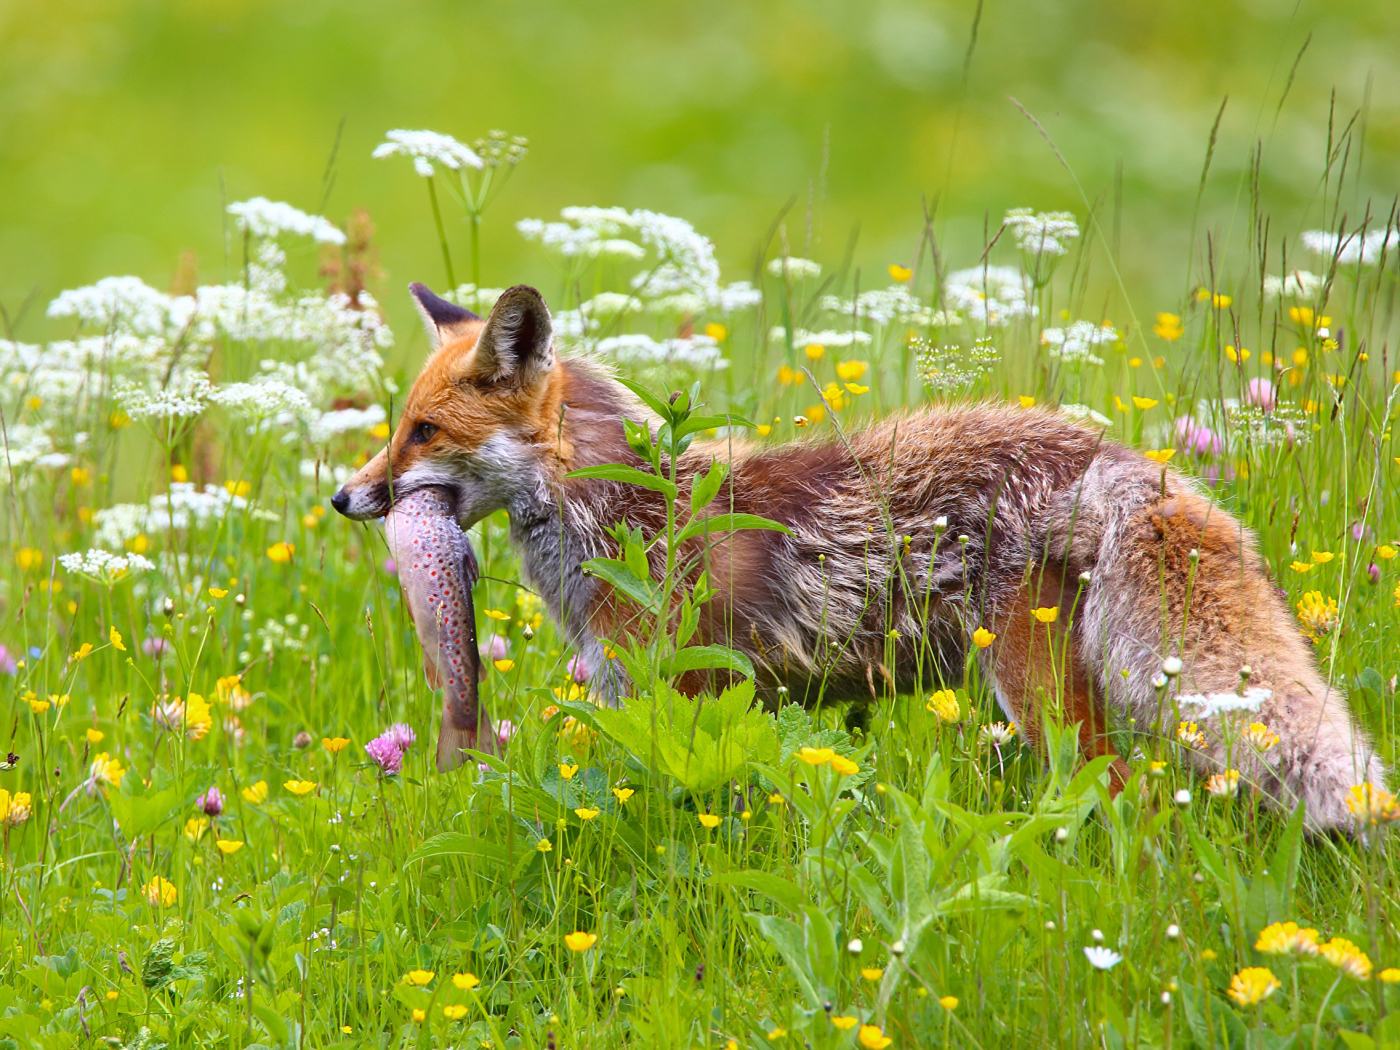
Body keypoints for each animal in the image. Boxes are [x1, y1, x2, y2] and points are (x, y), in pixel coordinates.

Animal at [330, 284, 1388, 834]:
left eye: (423, 432)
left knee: (1124, 795)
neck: (625, 514)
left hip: (1036, 695)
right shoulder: (735, 704)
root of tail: (1115, 459)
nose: (344, 498)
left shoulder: (683, 693)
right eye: (397, 428)